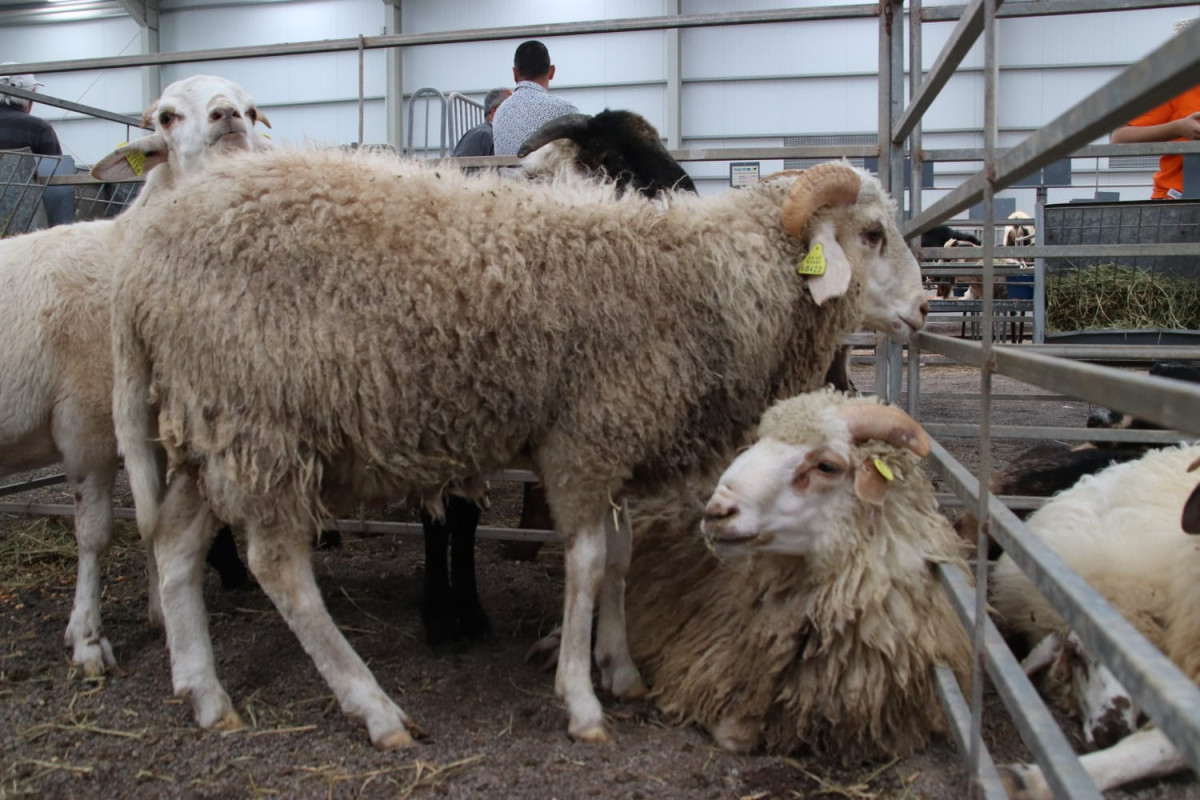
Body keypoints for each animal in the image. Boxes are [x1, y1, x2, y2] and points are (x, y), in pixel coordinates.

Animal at [0, 74, 272, 681]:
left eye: (252, 111)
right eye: (167, 117)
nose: (228, 117)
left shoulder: (152, 422)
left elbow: (155, 515)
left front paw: (160, 611)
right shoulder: (85, 423)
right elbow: (96, 532)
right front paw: (87, 638)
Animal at [110, 151, 926, 753]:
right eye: (873, 234)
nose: (922, 309)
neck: (706, 282)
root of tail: (140, 263)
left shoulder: (613, 445)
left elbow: (621, 559)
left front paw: (621, 669)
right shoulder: (583, 440)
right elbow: (588, 563)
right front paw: (582, 702)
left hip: (209, 428)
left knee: (175, 543)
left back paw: (204, 693)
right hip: (260, 420)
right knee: (279, 566)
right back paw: (375, 709)